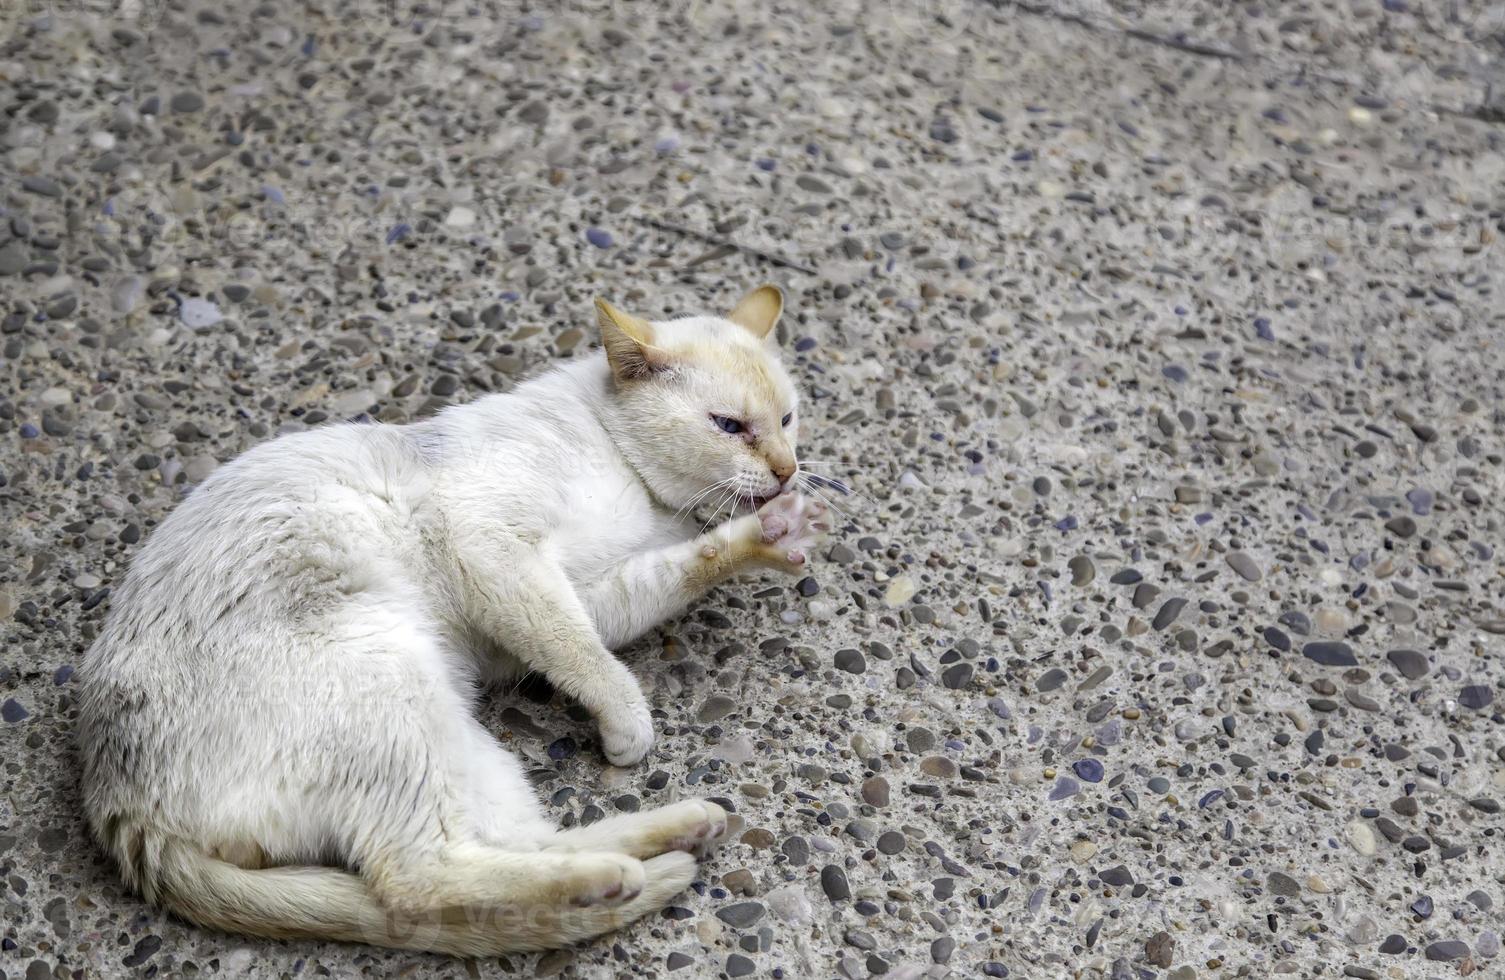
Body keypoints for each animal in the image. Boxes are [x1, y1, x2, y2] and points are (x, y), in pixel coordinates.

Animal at [76, 286, 830, 957]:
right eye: (729, 426)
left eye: (789, 419)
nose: (787, 470)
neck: (639, 487)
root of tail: (119, 805)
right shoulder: (497, 550)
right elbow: (585, 656)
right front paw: (627, 725)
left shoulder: (591, 590)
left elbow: (673, 575)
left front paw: (766, 537)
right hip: (388, 680)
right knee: (416, 882)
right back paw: (612, 875)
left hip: (456, 737)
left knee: (507, 852)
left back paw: (671, 836)